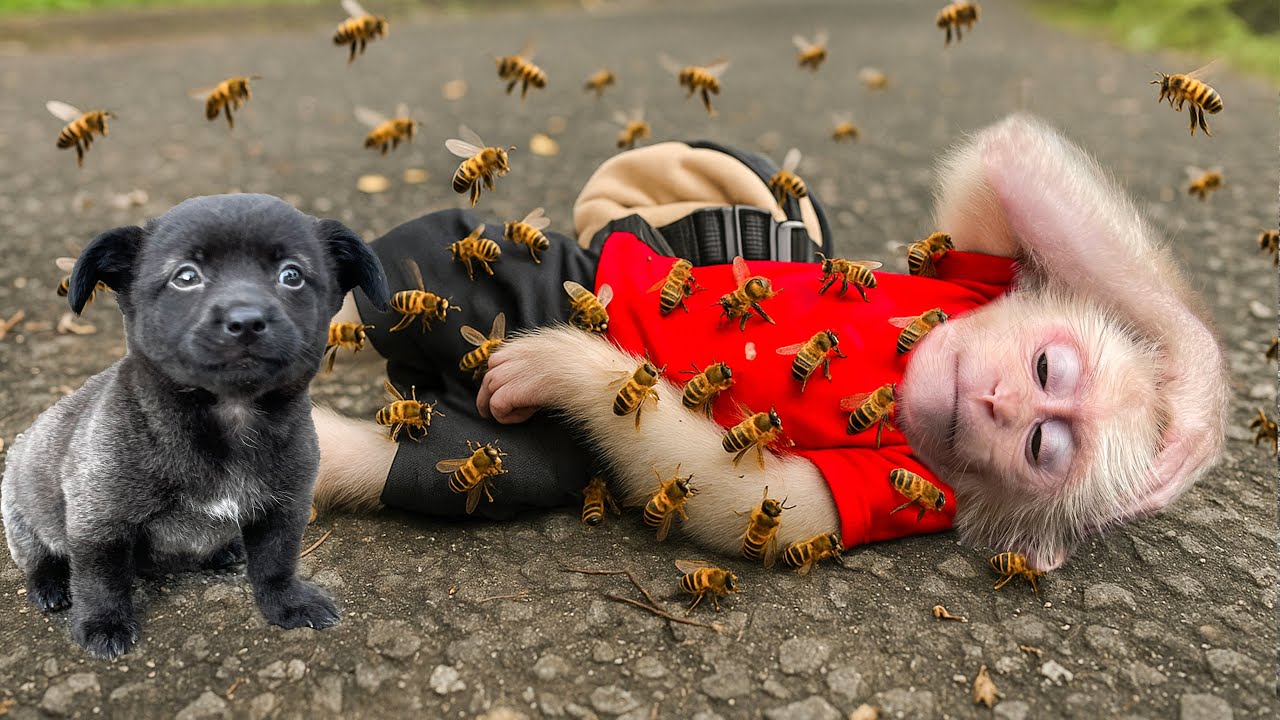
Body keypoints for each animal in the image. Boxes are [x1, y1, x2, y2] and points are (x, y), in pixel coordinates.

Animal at [309, 116, 1226, 574]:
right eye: (1047, 369)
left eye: (1042, 446)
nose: (1000, 402)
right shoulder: (977, 269)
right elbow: (1009, 161)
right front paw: (1195, 404)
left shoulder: (892, 492)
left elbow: (737, 497)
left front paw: (558, 362)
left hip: (495, 425)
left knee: (447, 439)